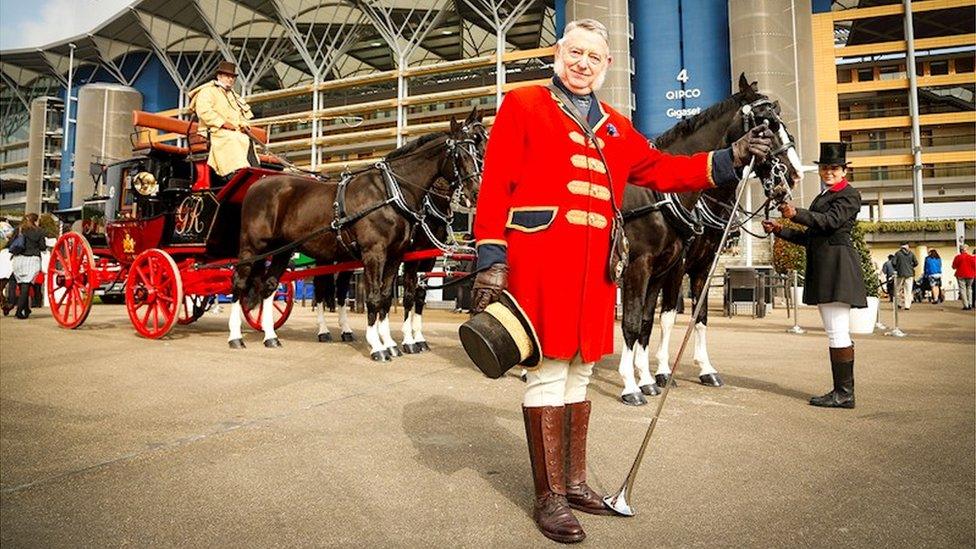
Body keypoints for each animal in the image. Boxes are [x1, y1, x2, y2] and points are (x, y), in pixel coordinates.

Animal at [232, 114, 484, 360]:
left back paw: (271, 336)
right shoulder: (377, 254)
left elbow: (387, 297)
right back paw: (237, 337)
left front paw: (393, 343)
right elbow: (378, 298)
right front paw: (380, 345)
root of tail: (259, 184)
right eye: (461, 153)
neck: (390, 193)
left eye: (478, 151)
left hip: (284, 250)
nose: (476, 191)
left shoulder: (397, 256)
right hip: (253, 247)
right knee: (241, 282)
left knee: (271, 286)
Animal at [616, 75, 800, 404]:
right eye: (765, 125)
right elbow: (641, 320)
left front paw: (656, 377)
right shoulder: (646, 267)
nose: (791, 175)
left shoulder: (681, 267)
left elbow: (669, 319)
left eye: (783, 125)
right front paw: (637, 383)